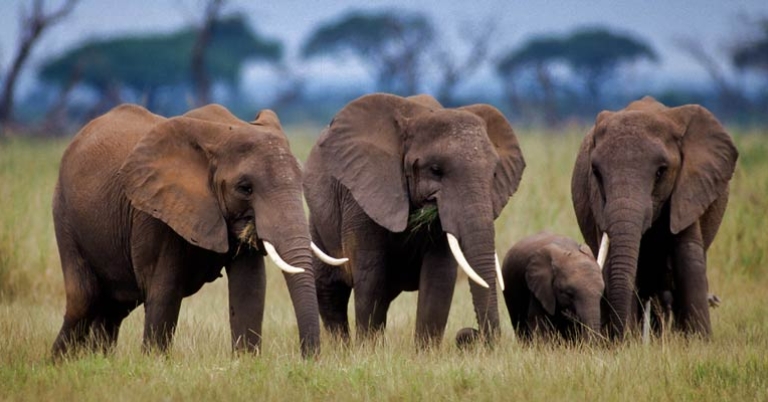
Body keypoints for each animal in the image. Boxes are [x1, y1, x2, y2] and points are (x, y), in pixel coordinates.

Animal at [51, 103, 338, 358]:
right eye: (245, 188)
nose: (309, 358)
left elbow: (250, 288)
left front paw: (246, 362)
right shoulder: (156, 213)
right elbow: (164, 291)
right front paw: (154, 362)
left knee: (113, 308)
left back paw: (98, 360)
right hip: (64, 214)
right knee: (84, 300)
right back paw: (59, 362)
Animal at [303, 93, 526, 347]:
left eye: (494, 173)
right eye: (436, 170)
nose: (470, 334)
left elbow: (438, 277)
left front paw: (425, 352)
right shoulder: (362, 196)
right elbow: (371, 275)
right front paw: (369, 350)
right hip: (318, 222)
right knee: (330, 290)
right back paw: (343, 349)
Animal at [571, 96, 738, 339]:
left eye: (661, 172)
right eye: (596, 173)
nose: (617, 336)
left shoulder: (689, 187)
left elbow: (688, 255)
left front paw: (700, 341)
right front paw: (627, 341)